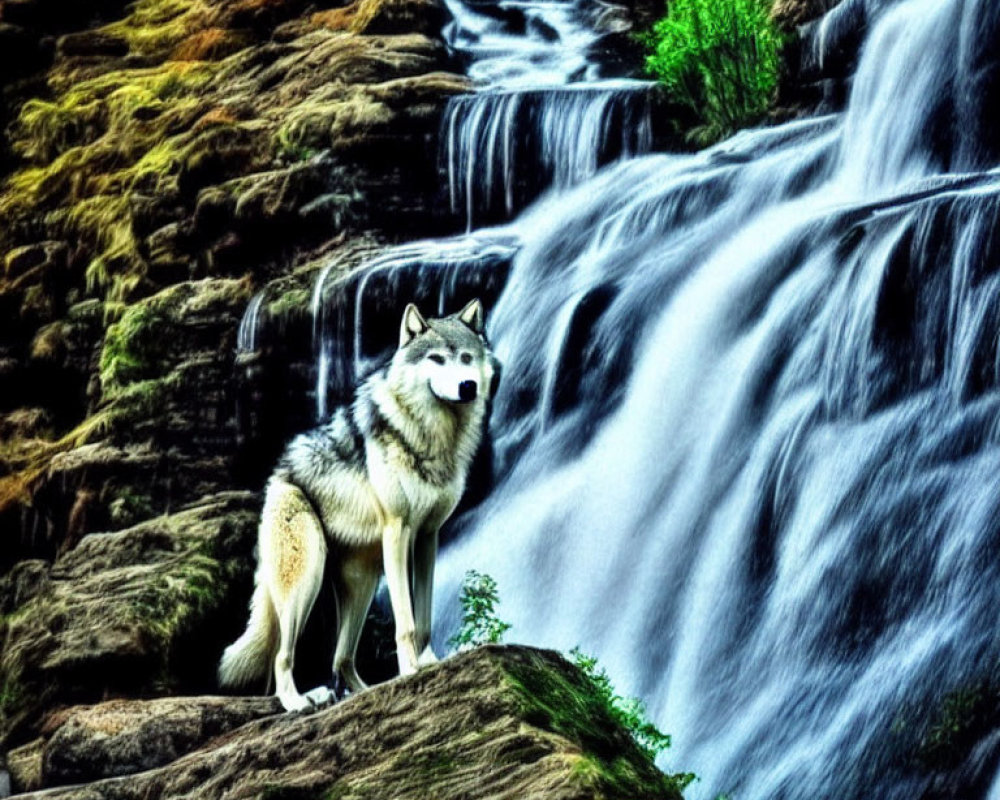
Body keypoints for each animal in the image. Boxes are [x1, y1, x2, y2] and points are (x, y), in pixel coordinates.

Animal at [220, 296, 500, 708]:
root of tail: (277, 476)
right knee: (282, 656)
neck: (432, 436)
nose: (468, 387)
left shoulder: (428, 537)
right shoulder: (398, 531)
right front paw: (411, 671)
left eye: (466, 358)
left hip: (362, 584)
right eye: (436, 359)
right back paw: (297, 702)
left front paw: (430, 664)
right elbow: (405, 621)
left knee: (341, 659)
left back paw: (361, 693)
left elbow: (425, 619)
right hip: (307, 579)